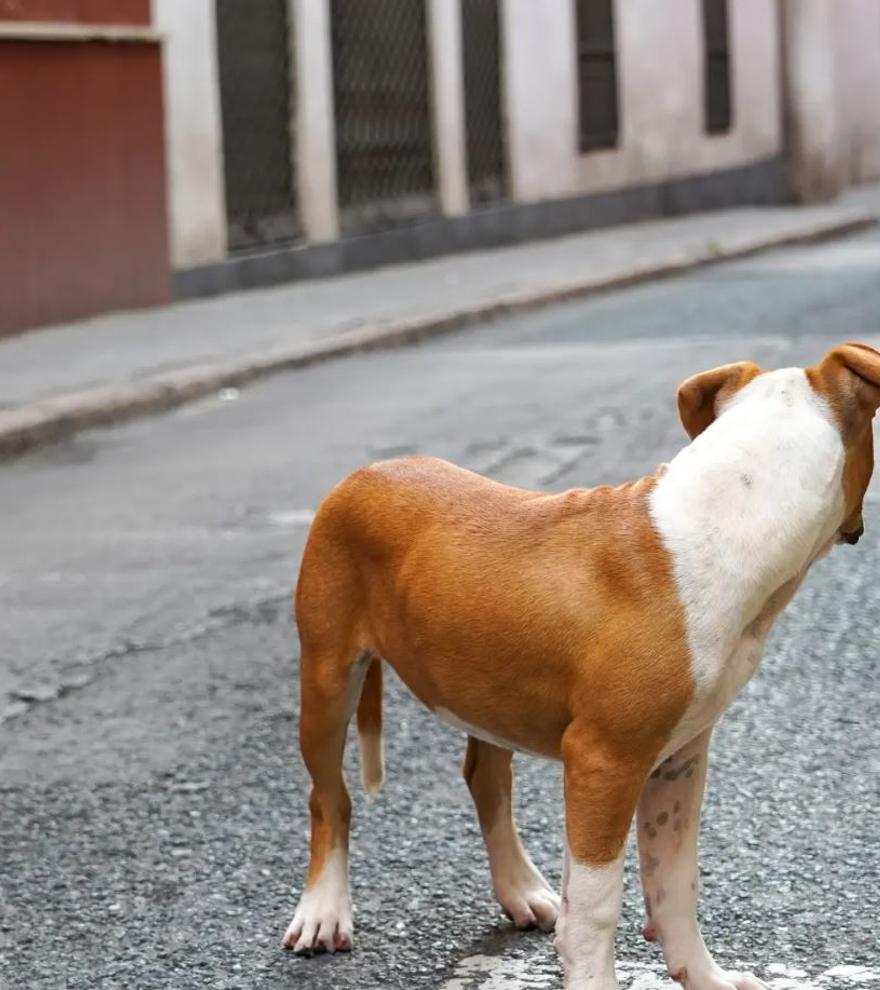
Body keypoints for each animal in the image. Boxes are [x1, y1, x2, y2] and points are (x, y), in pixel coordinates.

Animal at [286, 342, 876, 990]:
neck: (733, 513)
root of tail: (365, 473)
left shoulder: (679, 758)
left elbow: (675, 883)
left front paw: (705, 977)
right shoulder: (604, 763)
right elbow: (595, 910)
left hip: (484, 688)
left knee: (487, 779)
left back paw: (520, 890)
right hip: (328, 674)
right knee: (328, 796)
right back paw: (323, 911)